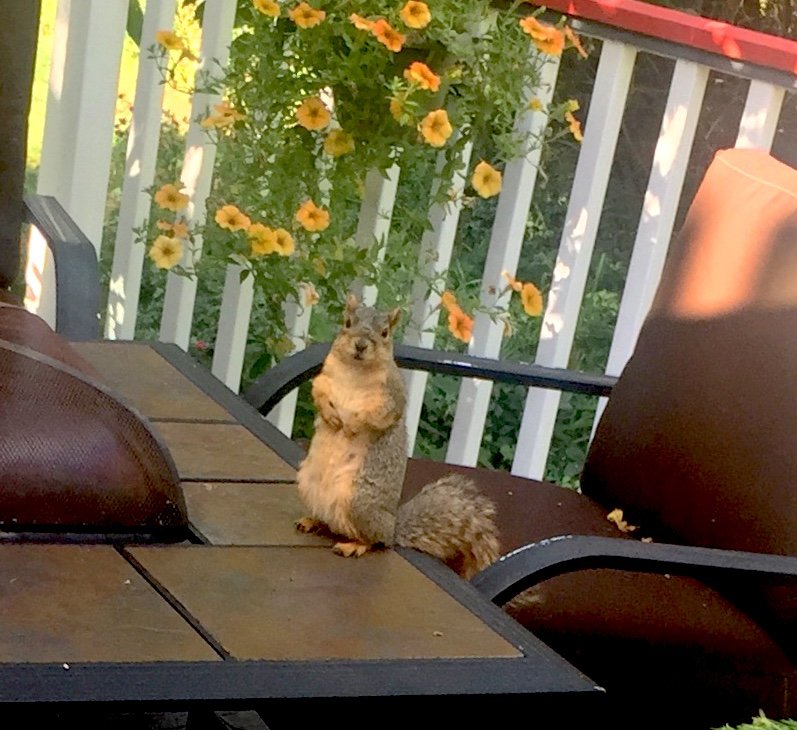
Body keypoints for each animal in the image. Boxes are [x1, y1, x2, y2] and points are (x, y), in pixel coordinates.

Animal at [295, 292, 500, 579]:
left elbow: (376, 417)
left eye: (384, 332)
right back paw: (311, 520)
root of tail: (393, 527)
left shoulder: (391, 399)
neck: (355, 371)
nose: (360, 345)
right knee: (328, 520)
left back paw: (355, 545)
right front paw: (331, 416)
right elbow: (319, 393)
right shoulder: (324, 378)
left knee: (376, 541)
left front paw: (351, 426)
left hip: (359, 504)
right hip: (307, 483)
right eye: (347, 322)